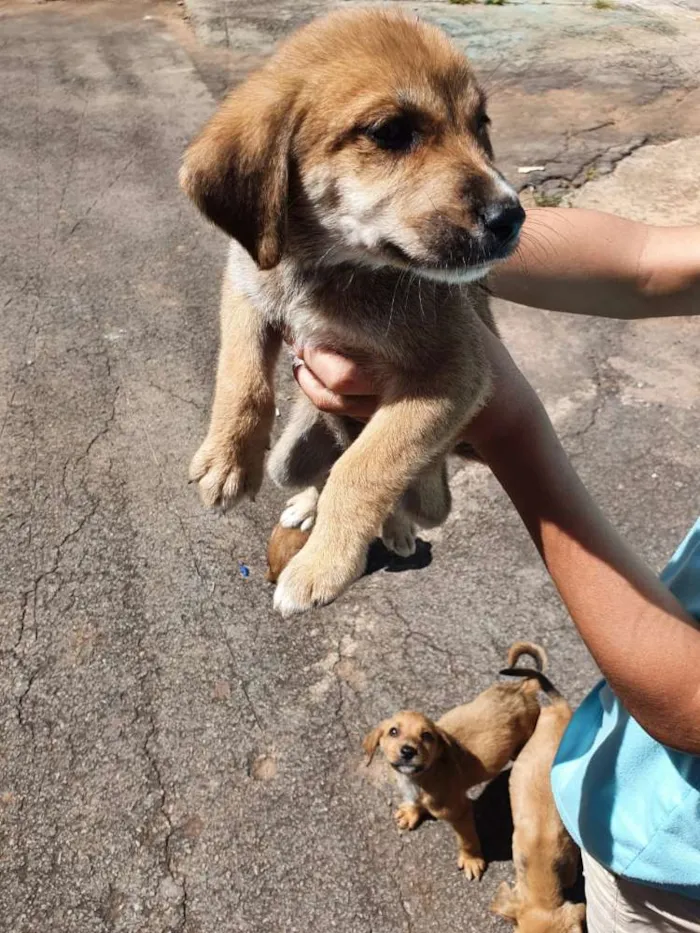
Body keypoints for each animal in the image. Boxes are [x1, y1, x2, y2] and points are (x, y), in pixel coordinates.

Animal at [180, 10, 524, 620]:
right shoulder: (246, 284)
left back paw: (397, 529)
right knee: (315, 470)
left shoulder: (454, 372)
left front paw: (324, 565)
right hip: (289, 457)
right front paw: (227, 459)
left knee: (392, 490)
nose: (512, 217)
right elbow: (242, 376)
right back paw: (304, 507)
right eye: (390, 133)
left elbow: (366, 468)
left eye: (480, 123)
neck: (333, 270)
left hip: (434, 493)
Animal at [360, 644, 548, 876]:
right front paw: (412, 812)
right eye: (393, 731)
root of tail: (522, 689)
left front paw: (471, 859)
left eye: (427, 736)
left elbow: (466, 840)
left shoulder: (461, 811)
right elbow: (415, 802)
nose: (407, 751)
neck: (422, 777)